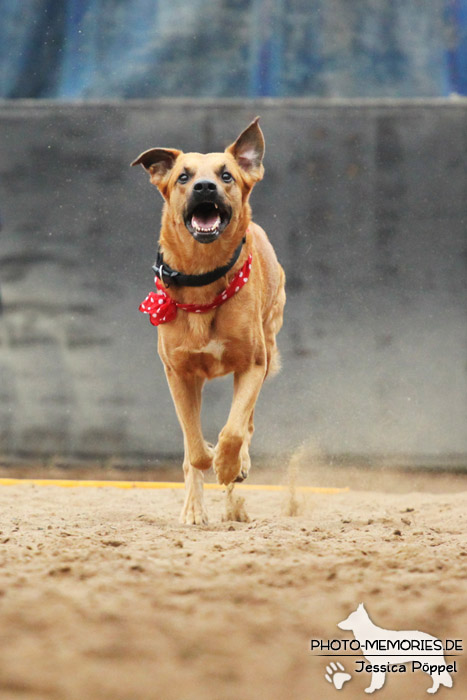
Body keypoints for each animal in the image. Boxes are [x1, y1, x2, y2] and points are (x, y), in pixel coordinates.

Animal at [132, 119, 286, 524]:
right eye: (183, 176)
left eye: (226, 175)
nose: (205, 187)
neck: (203, 278)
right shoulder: (179, 373)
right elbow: (194, 449)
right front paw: (206, 468)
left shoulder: (252, 364)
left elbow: (234, 431)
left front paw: (230, 464)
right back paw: (197, 506)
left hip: (268, 344)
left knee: (246, 424)